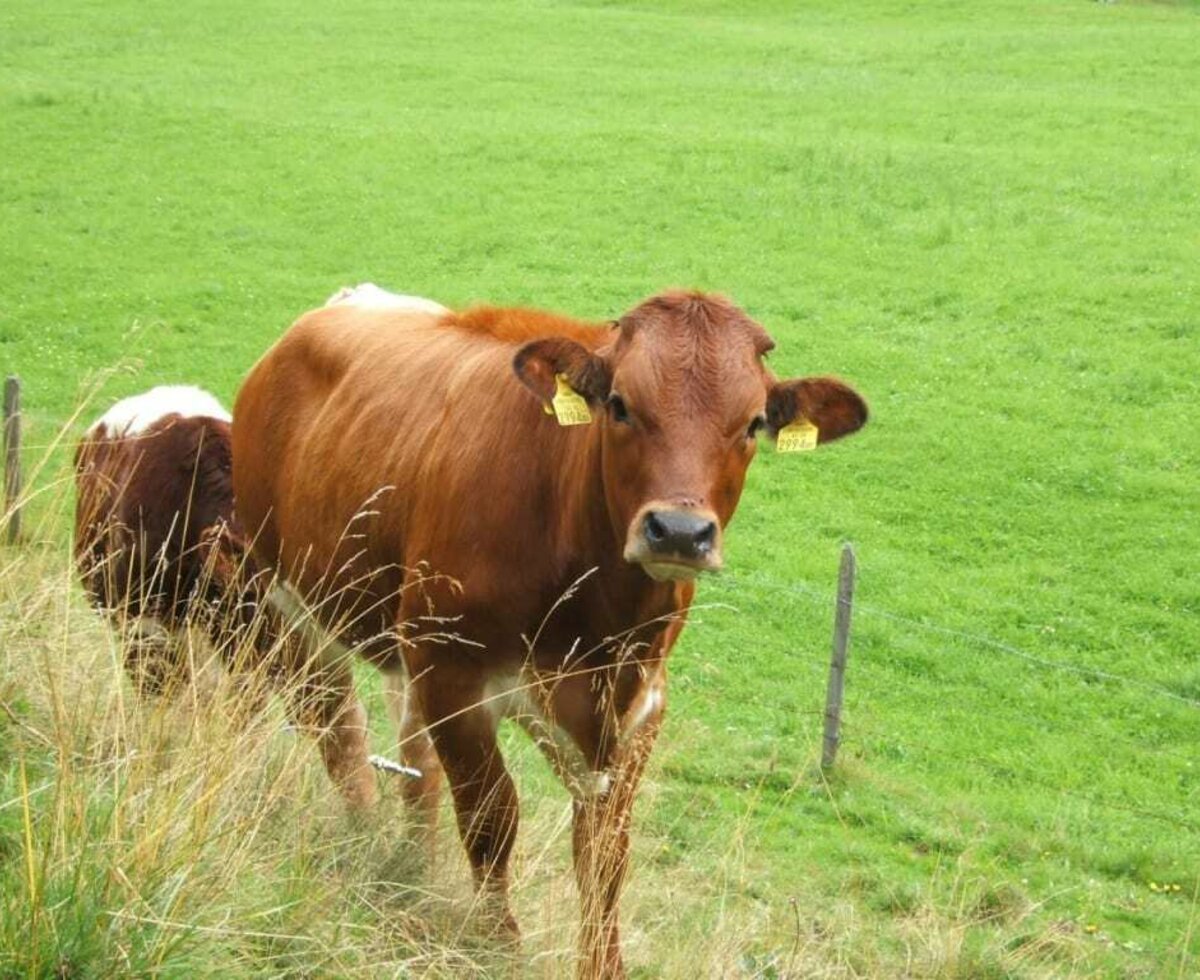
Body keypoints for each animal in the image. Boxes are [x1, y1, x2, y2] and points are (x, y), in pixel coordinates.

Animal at [231, 289, 864, 969]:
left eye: (752, 423)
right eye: (620, 405)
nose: (678, 532)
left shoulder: (640, 704)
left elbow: (604, 854)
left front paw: (604, 964)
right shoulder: (454, 673)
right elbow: (492, 817)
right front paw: (498, 945)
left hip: (405, 637)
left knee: (413, 761)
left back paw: (412, 866)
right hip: (293, 598)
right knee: (337, 727)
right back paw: (362, 838)